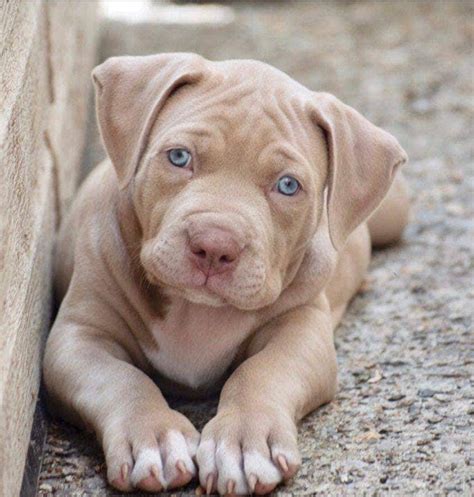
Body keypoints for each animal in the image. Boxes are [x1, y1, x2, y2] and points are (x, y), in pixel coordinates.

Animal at [42, 52, 410, 494]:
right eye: (179, 157)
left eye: (288, 185)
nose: (215, 245)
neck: (194, 312)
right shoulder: (77, 337)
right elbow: (120, 378)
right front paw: (154, 437)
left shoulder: (302, 327)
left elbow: (262, 371)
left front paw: (243, 443)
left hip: (394, 212)